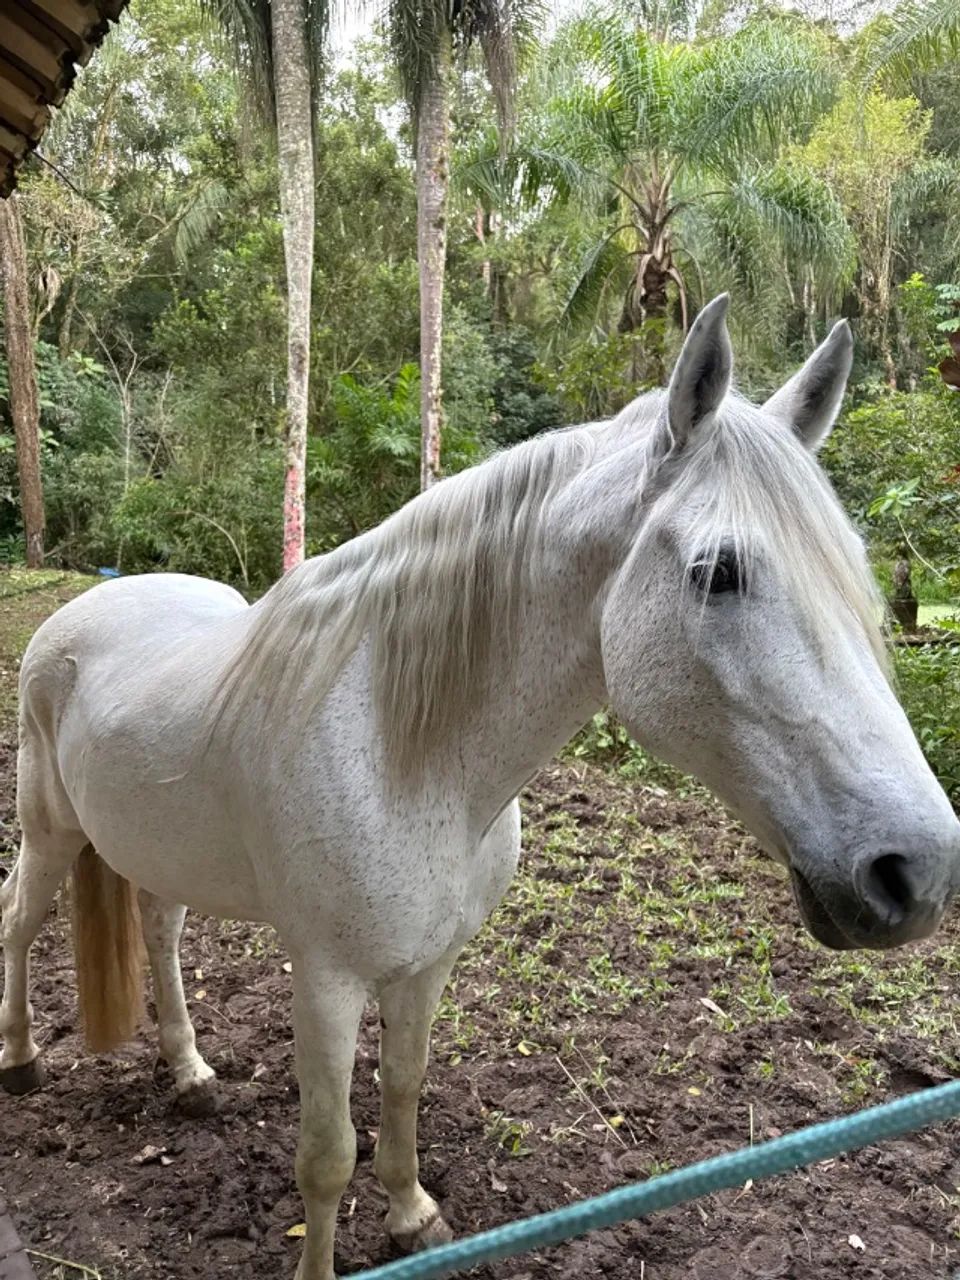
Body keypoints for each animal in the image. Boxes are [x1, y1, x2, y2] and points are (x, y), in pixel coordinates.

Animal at [2, 296, 958, 1280]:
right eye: (717, 572)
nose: (915, 870)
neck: (404, 755)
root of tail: (83, 611)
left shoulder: (428, 964)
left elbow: (404, 1086)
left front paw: (412, 1215)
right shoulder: (326, 980)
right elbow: (325, 1154)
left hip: (153, 852)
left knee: (158, 932)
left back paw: (190, 1075)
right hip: (50, 835)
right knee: (18, 921)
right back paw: (23, 1059)